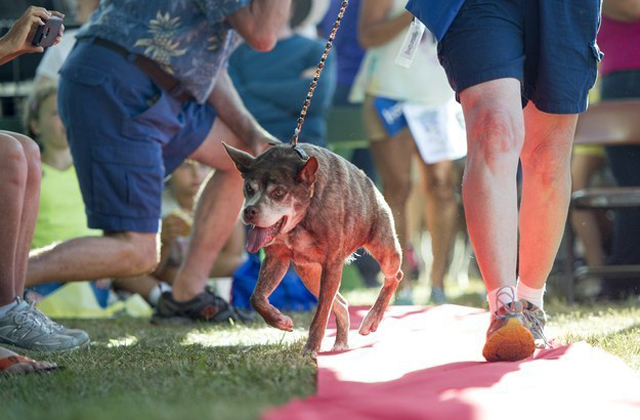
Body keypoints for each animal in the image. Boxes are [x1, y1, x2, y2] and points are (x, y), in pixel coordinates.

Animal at [225, 143, 402, 360]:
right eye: (249, 188)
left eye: (279, 192)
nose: (249, 211)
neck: (303, 213)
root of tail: (372, 185)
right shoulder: (277, 257)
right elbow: (256, 298)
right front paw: (280, 320)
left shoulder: (332, 264)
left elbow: (321, 314)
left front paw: (310, 348)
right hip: (309, 273)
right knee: (341, 303)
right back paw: (341, 342)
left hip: (384, 249)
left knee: (394, 276)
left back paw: (372, 319)